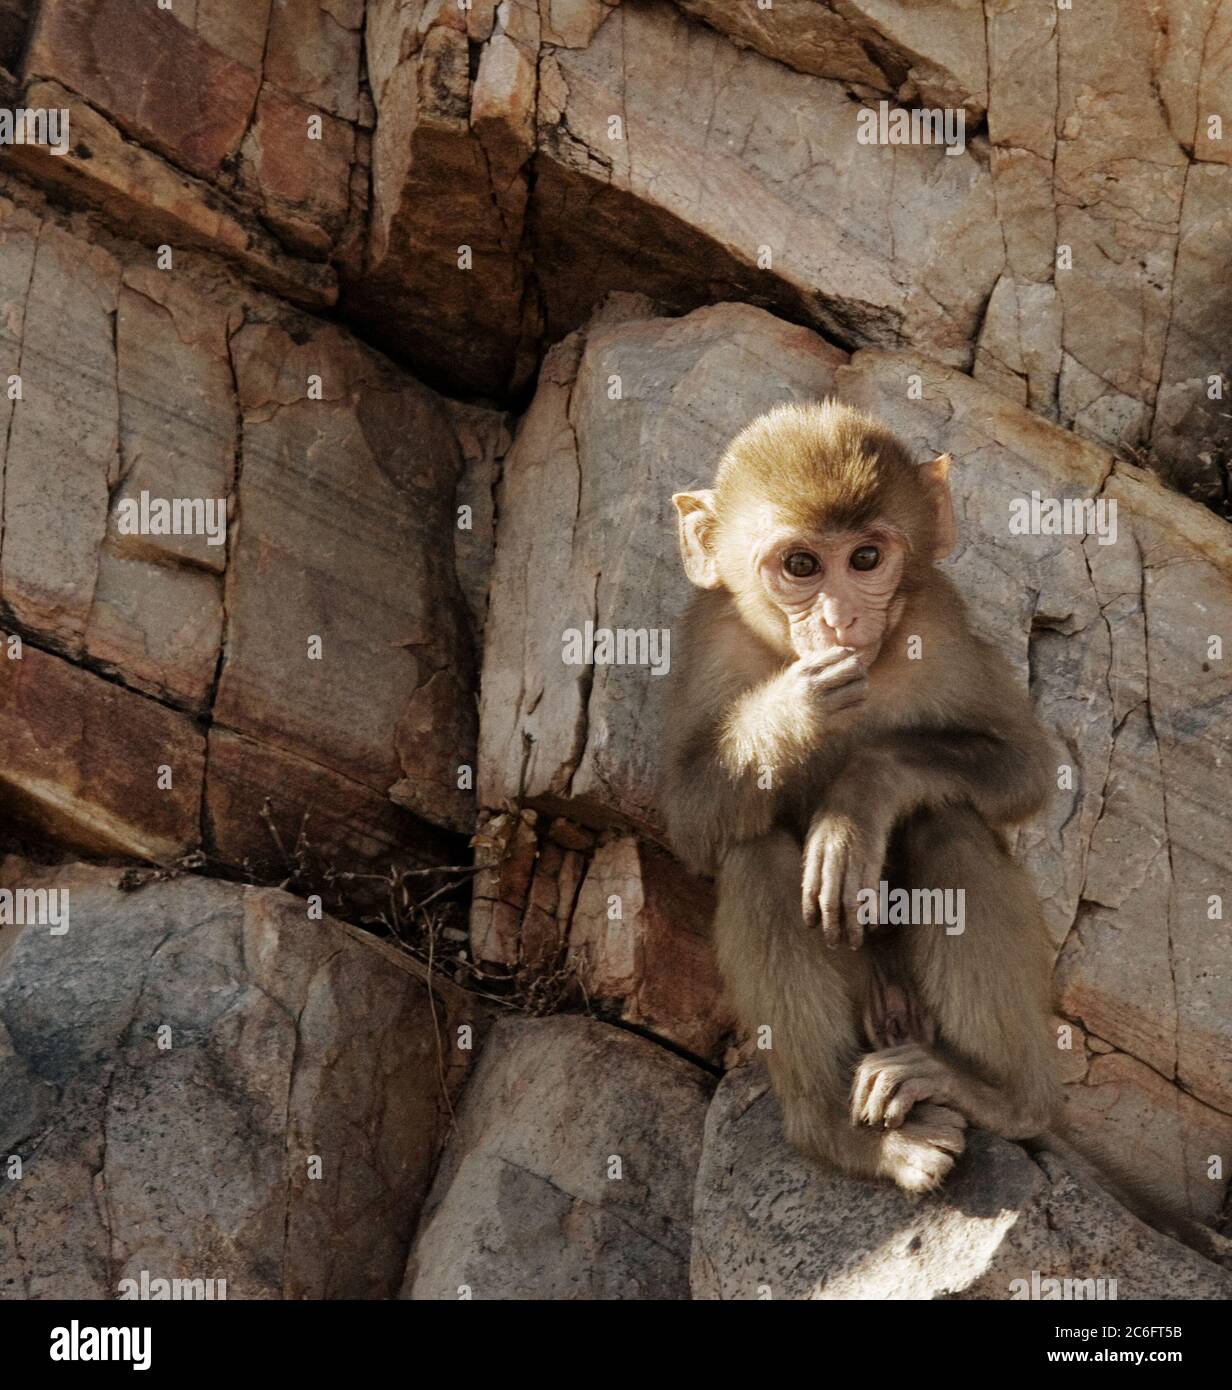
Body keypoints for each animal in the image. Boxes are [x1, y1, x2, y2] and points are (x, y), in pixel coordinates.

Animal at [664, 397, 1062, 1189]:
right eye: (801, 565)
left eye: (866, 560)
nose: (840, 620)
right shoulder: (711, 639)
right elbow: (689, 819)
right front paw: (795, 709)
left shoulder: (939, 619)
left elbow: (1026, 768)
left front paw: (858, 802)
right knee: (754, 852)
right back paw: (844, 1134)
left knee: (947, 820)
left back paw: (999, 1095)